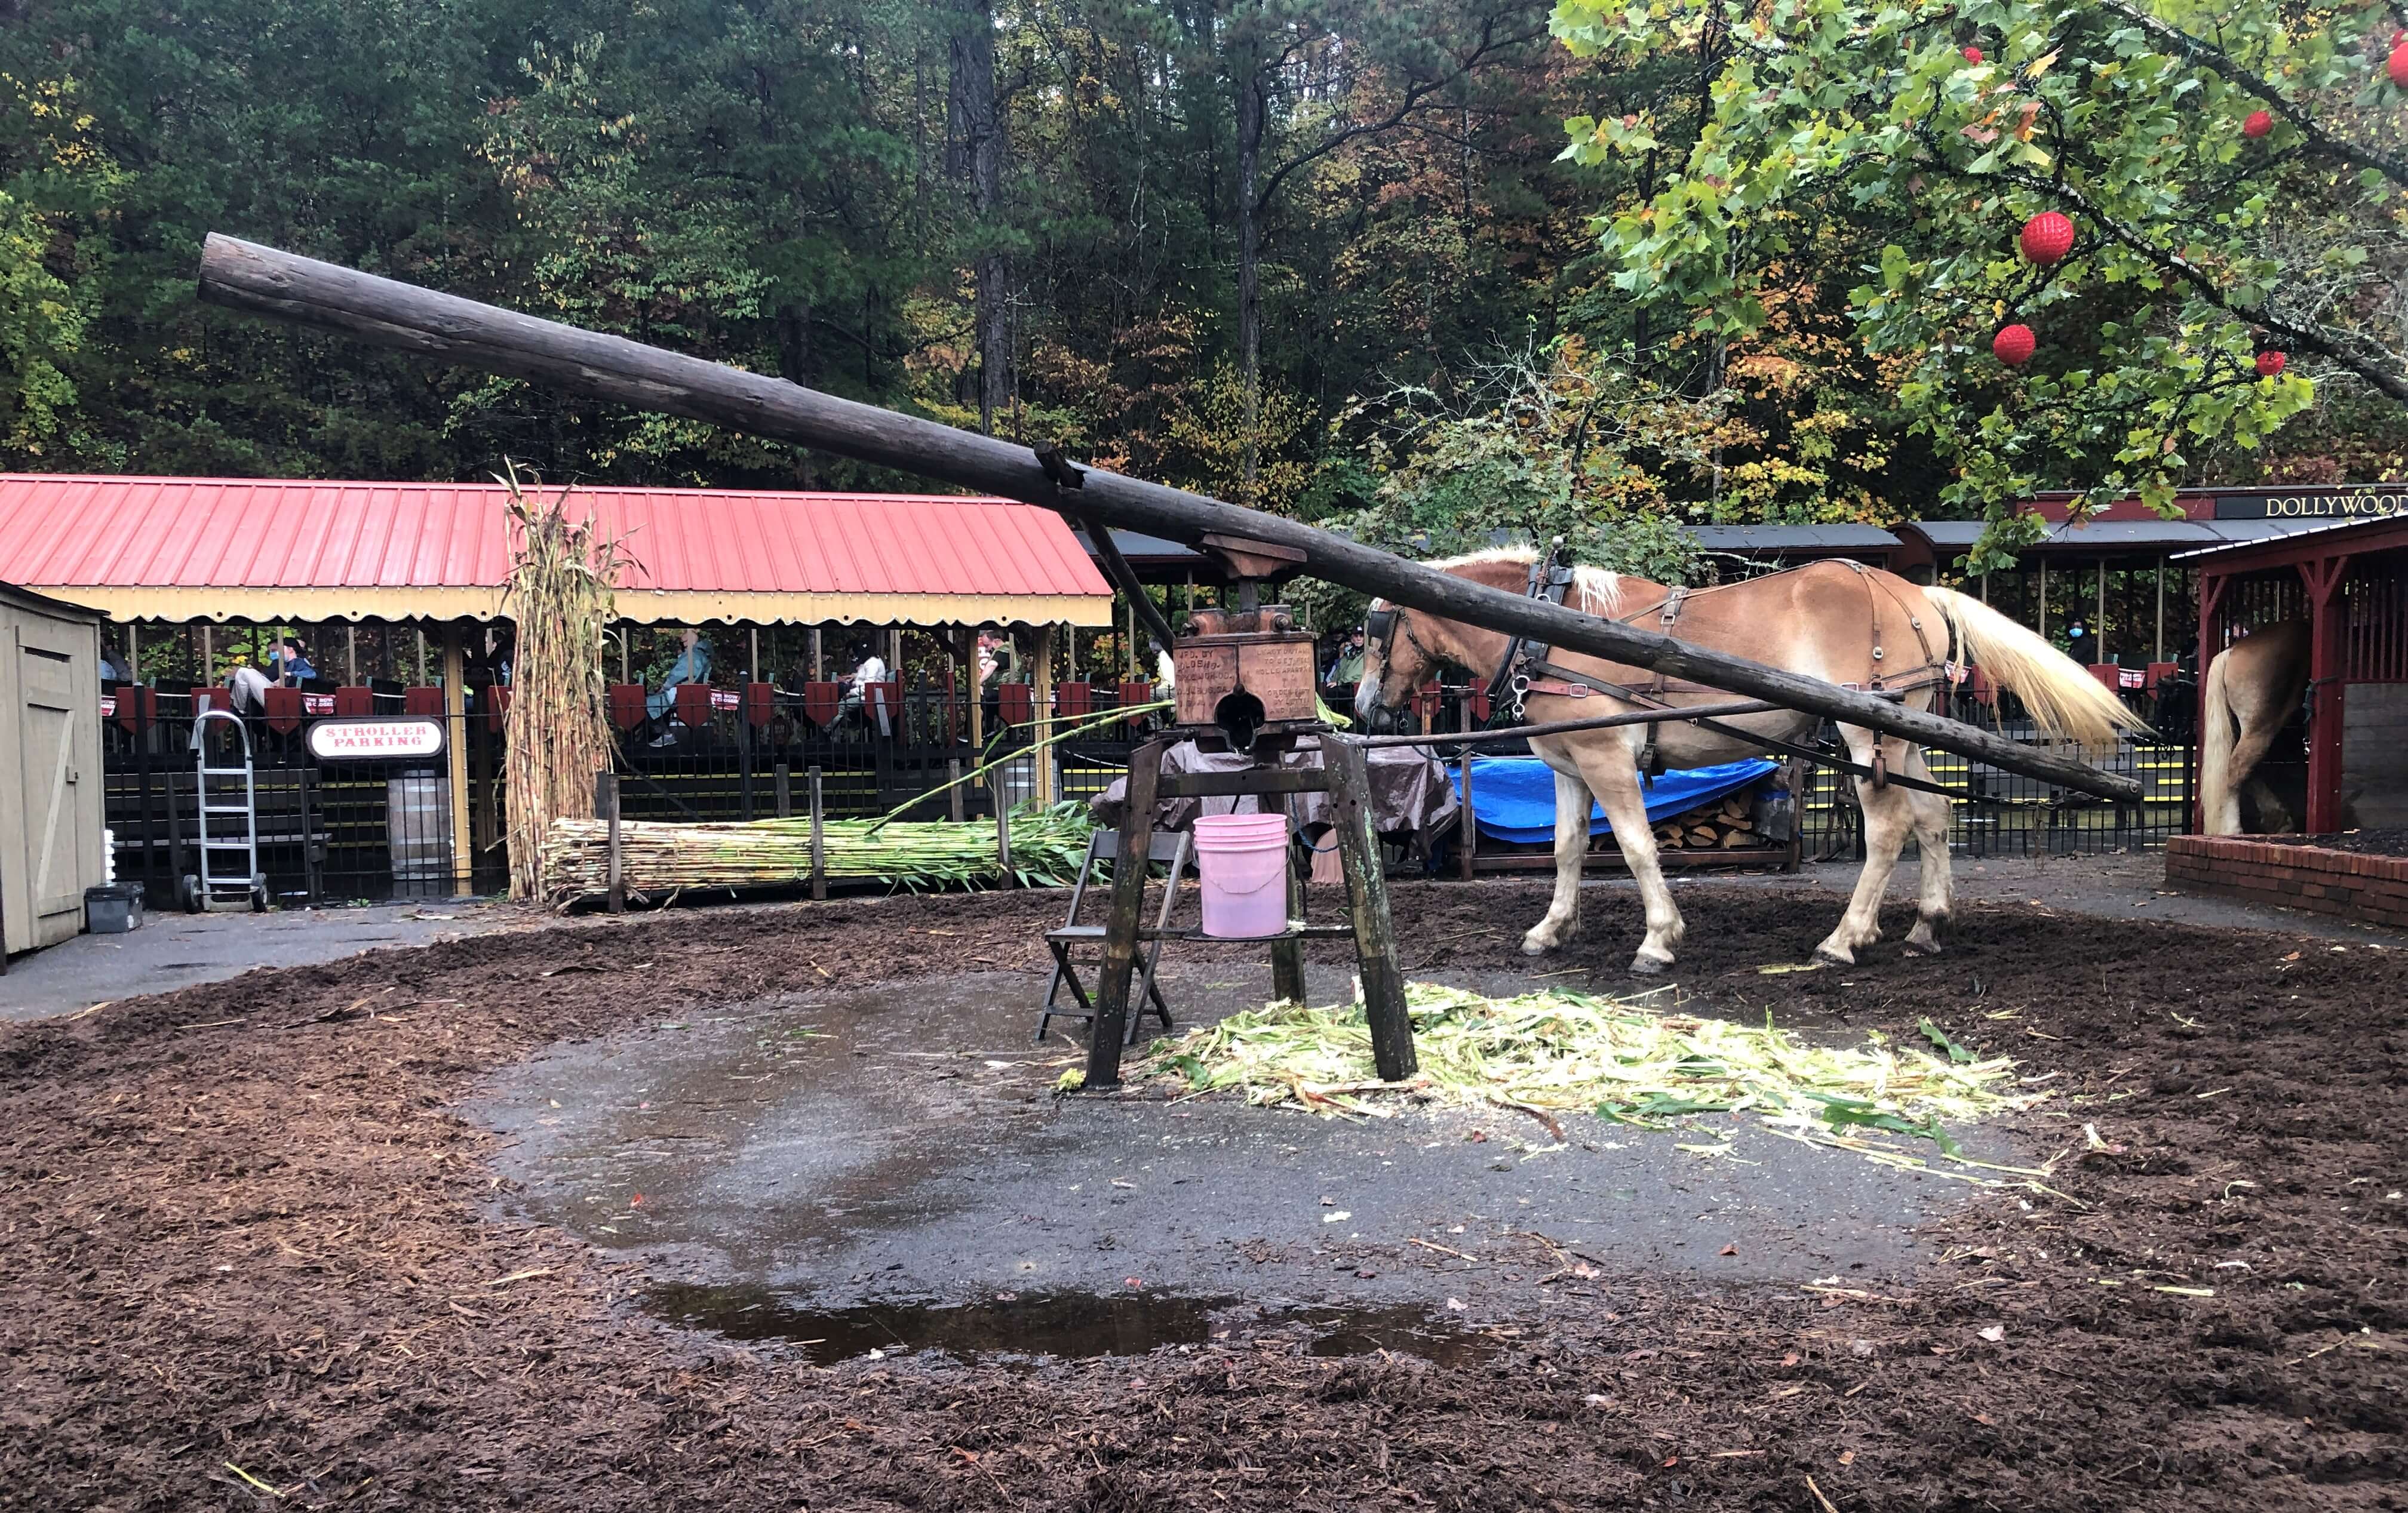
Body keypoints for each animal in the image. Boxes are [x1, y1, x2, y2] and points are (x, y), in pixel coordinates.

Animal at [1358, 549, 2148, 973]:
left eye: (1372, 632)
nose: (1365, 708)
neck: (1549, 626)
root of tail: (1912, 591)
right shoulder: (1568, 766)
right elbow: (1567, 849)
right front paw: (1552, 929)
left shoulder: (1607, 757)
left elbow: (1638, 847)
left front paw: (1659, 938)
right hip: (1905, 733)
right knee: (1933, 815)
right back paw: (1925, 924)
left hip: (1866, 733)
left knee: (1888, 829)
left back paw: (1844, 938)